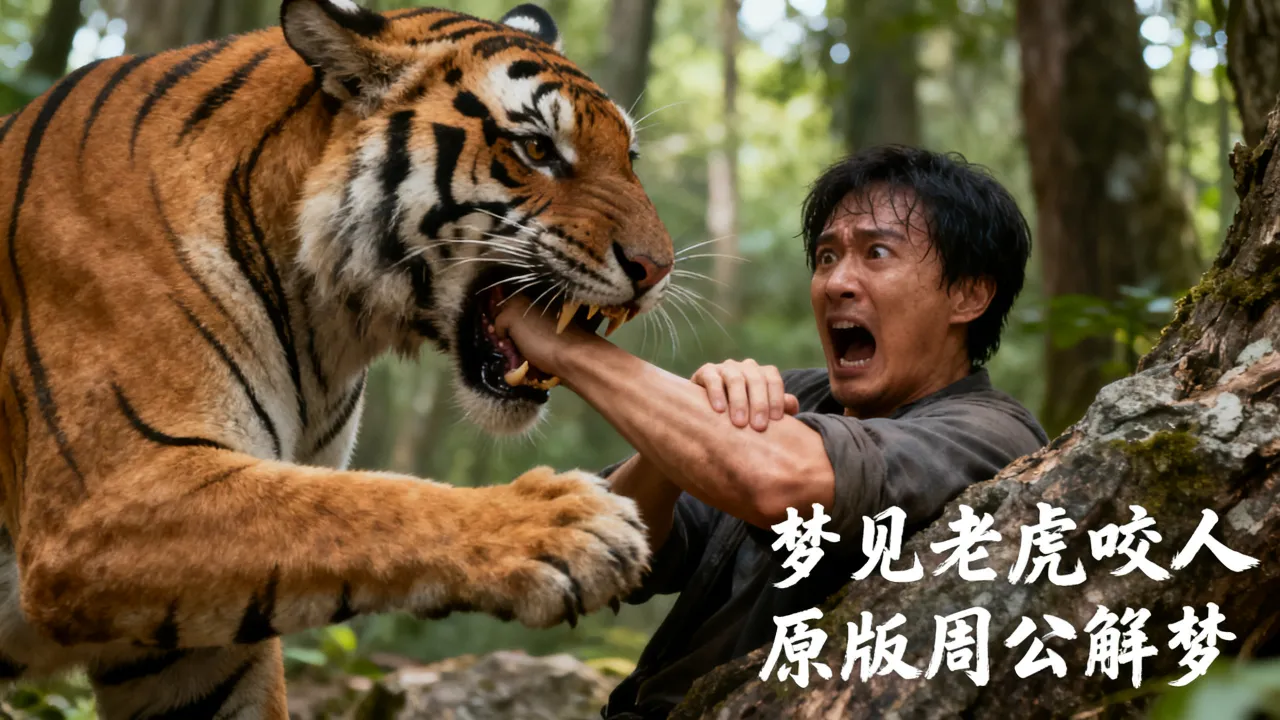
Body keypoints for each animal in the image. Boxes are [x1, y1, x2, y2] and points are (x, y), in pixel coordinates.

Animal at [0, 0, 675, 716]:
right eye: (538, 148)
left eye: (629, 156)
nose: (659, 267)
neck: (325, 325)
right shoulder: (100, 503)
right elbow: (353, 505)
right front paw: (564, 526)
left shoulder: (185, 649)